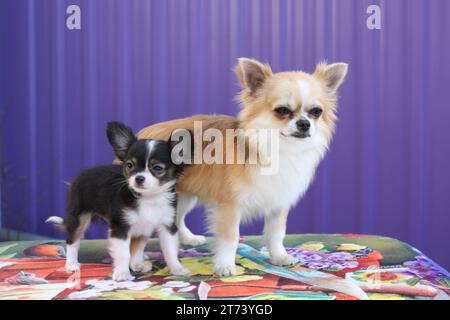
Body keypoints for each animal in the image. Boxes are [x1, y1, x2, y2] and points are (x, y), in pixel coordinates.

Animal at [48, 122, 189, 280]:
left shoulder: (167, 226)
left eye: (157, 168)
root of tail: (78, 177)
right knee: (73, 240)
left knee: (137, 246)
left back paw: (137, 264)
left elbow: (169, 250)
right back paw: (71, 264)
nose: (139, 178)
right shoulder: (121, 227)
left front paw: (176, 268)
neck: (148, 198)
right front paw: (122, 273)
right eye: (130, 165)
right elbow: (123, 253)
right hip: (79, 218)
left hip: (142, 228)